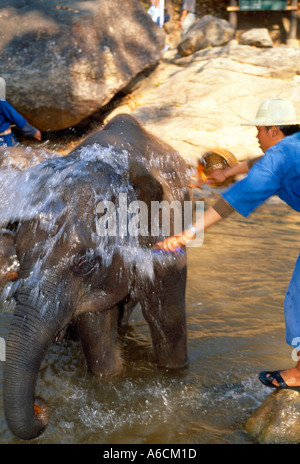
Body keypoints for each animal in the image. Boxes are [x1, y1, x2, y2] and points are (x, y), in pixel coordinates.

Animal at [1, 114, 190, 440]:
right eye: (19, 252)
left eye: (85, 261)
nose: (40, 407)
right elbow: (97, 330)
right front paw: (109, 383)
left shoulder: (165, 240)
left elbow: (167, 320)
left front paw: (173, 377)